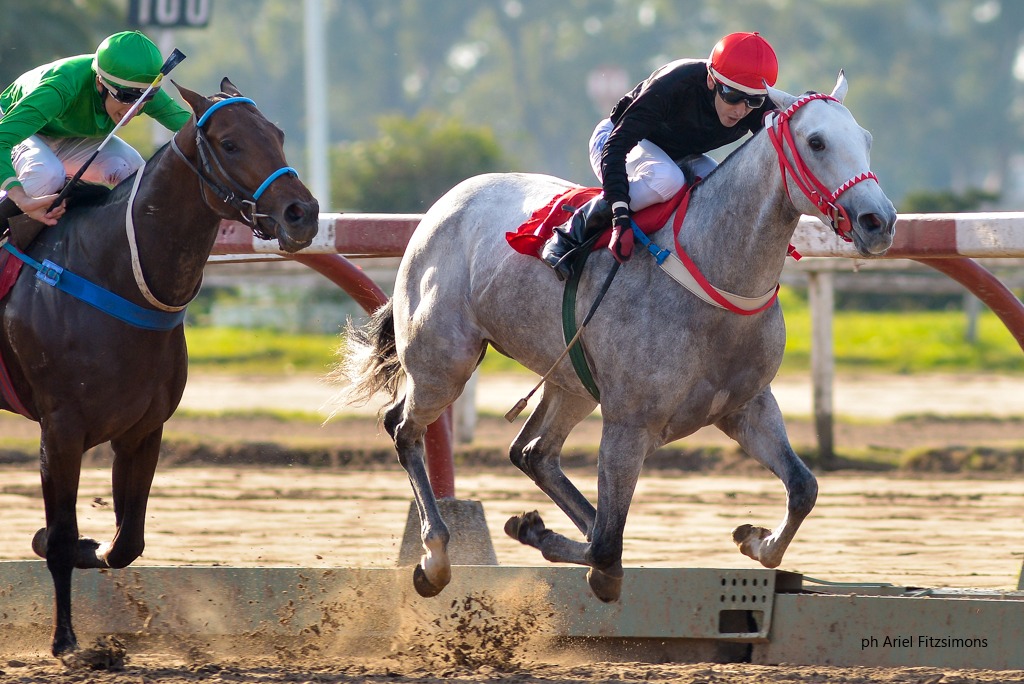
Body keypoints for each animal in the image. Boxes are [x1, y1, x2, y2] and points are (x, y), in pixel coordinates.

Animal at [0, 78, 319, 661]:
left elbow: (125, 542)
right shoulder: (60, 430)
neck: (111, 274)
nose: (300, 213)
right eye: (231, 143)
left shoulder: (143, 429)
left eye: (279, 133)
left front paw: (87, 547)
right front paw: (66, 640)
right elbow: (60, 539)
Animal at [339, 73, 896, 603]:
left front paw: (755, 539)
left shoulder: (747, 405)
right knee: (404, 429)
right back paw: (435, 557)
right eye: (817, 142)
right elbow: (607, 544)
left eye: (867, 139)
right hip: (444, 361)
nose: (880, 221)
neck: (711, 272)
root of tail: (444, 205)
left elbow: (803, 487)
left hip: (571, 380)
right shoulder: (629, 423)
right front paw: (536, 532)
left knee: (532, 452)